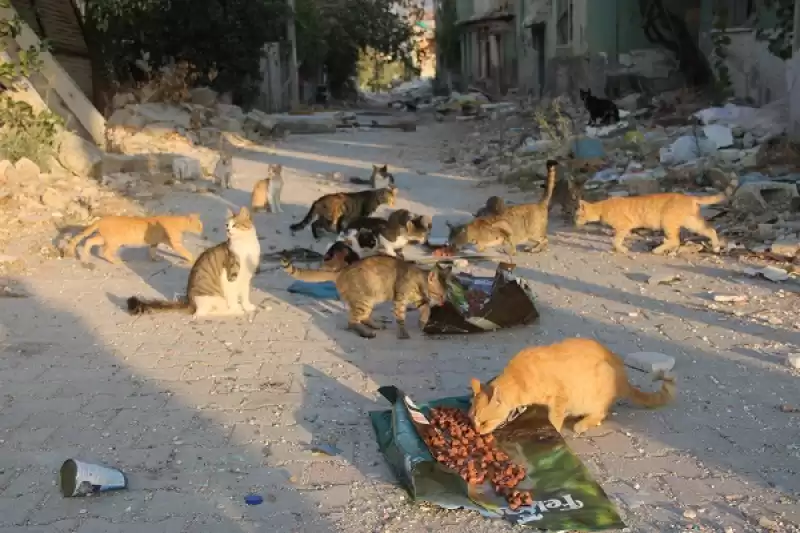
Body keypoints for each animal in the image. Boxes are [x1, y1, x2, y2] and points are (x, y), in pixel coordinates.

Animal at [65, 211, 203, 262]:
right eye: (199, 226)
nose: (202, 231)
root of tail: (101, 219)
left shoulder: (154, 242)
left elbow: (152, 250)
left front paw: (154, 258)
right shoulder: (176, 244)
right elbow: (186, 252)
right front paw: (193, 258)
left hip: (103, 238)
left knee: (89, 240)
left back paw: (85, 256)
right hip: (114, 242)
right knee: (105, 252)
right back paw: (116, 261)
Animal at [126, 207, 260, 316]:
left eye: (235, 225)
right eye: (227, 225)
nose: (228, 231)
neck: (245, 245)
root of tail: (190, 303)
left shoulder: (246, 276)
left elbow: (245, 295)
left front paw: (248, 307)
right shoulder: (230, 277)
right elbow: (233, 298)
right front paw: (237, 309)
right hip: (212, 297)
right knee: (201, 314)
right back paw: (230, 311)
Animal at [284, 256, 454, 338]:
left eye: (446, 295)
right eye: (439, 295)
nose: (443, 302)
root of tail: (341, 271)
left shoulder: (419, 299)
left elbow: (426, 309)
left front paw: (422, 322)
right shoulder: (400, 300)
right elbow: (401, 318)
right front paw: (403, 332)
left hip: (369, 301)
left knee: (362, 318)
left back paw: (374, 325)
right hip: (364, 301)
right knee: (352, 322)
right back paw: (366, 332)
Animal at [468, 336, 676, 436]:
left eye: (484, 422)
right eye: (473, 421)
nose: (476, 431)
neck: (519, 378)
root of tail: (623, 378)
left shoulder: (559, 397)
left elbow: (554, 419)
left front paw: (554, 431)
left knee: (601, 413)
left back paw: (581, 424)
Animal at [576, 190, 732, 255]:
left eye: (577, 215)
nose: (574, 221)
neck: (601, 207)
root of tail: (689, 196)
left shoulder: (624, 226)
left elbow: (616, 240)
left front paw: (621, 249)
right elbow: (617, 239)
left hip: (667, 221)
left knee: (675, 240)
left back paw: (657, 250)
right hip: (692, 222)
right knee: (710, 230)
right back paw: (716, 247)